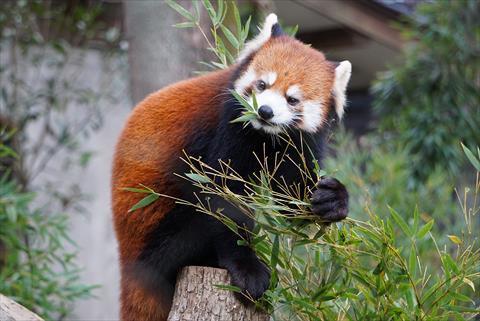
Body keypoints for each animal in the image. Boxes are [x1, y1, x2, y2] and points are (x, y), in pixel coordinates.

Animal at [113, 13, 352, 320]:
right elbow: (225, 198)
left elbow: (291, 196)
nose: (265, 111)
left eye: (292, 99)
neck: (266, 136)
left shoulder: (299, 143)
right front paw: (247, 267)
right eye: (261, 85)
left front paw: (331, 199)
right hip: (155, 226)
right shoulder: (229, 125)